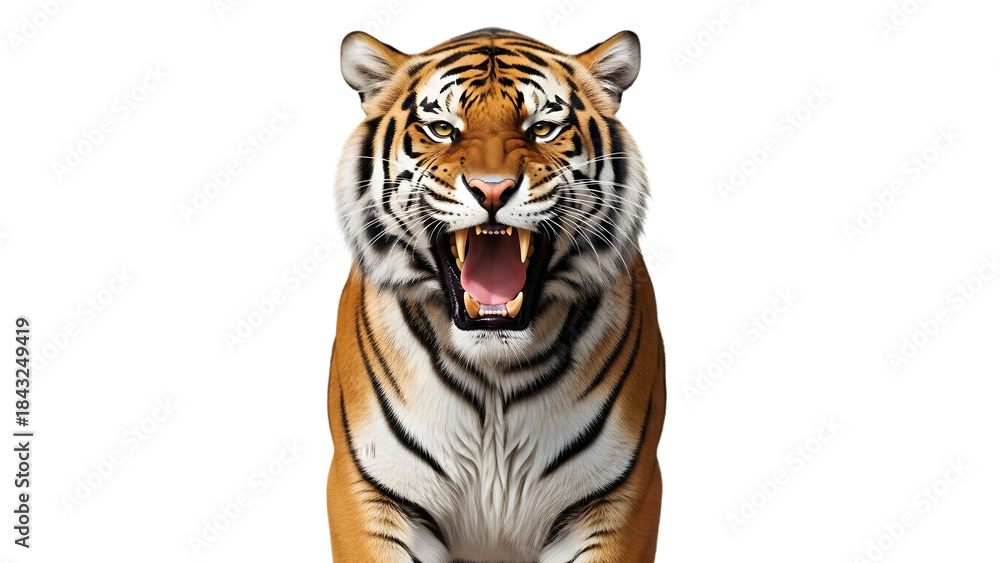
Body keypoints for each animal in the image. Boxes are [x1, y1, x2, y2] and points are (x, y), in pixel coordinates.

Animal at [327, 27, 666, 563]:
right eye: (442, 130)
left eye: (541, 129)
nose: (491, 190)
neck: (494, 375)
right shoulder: (370, 492)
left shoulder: (617, 499)